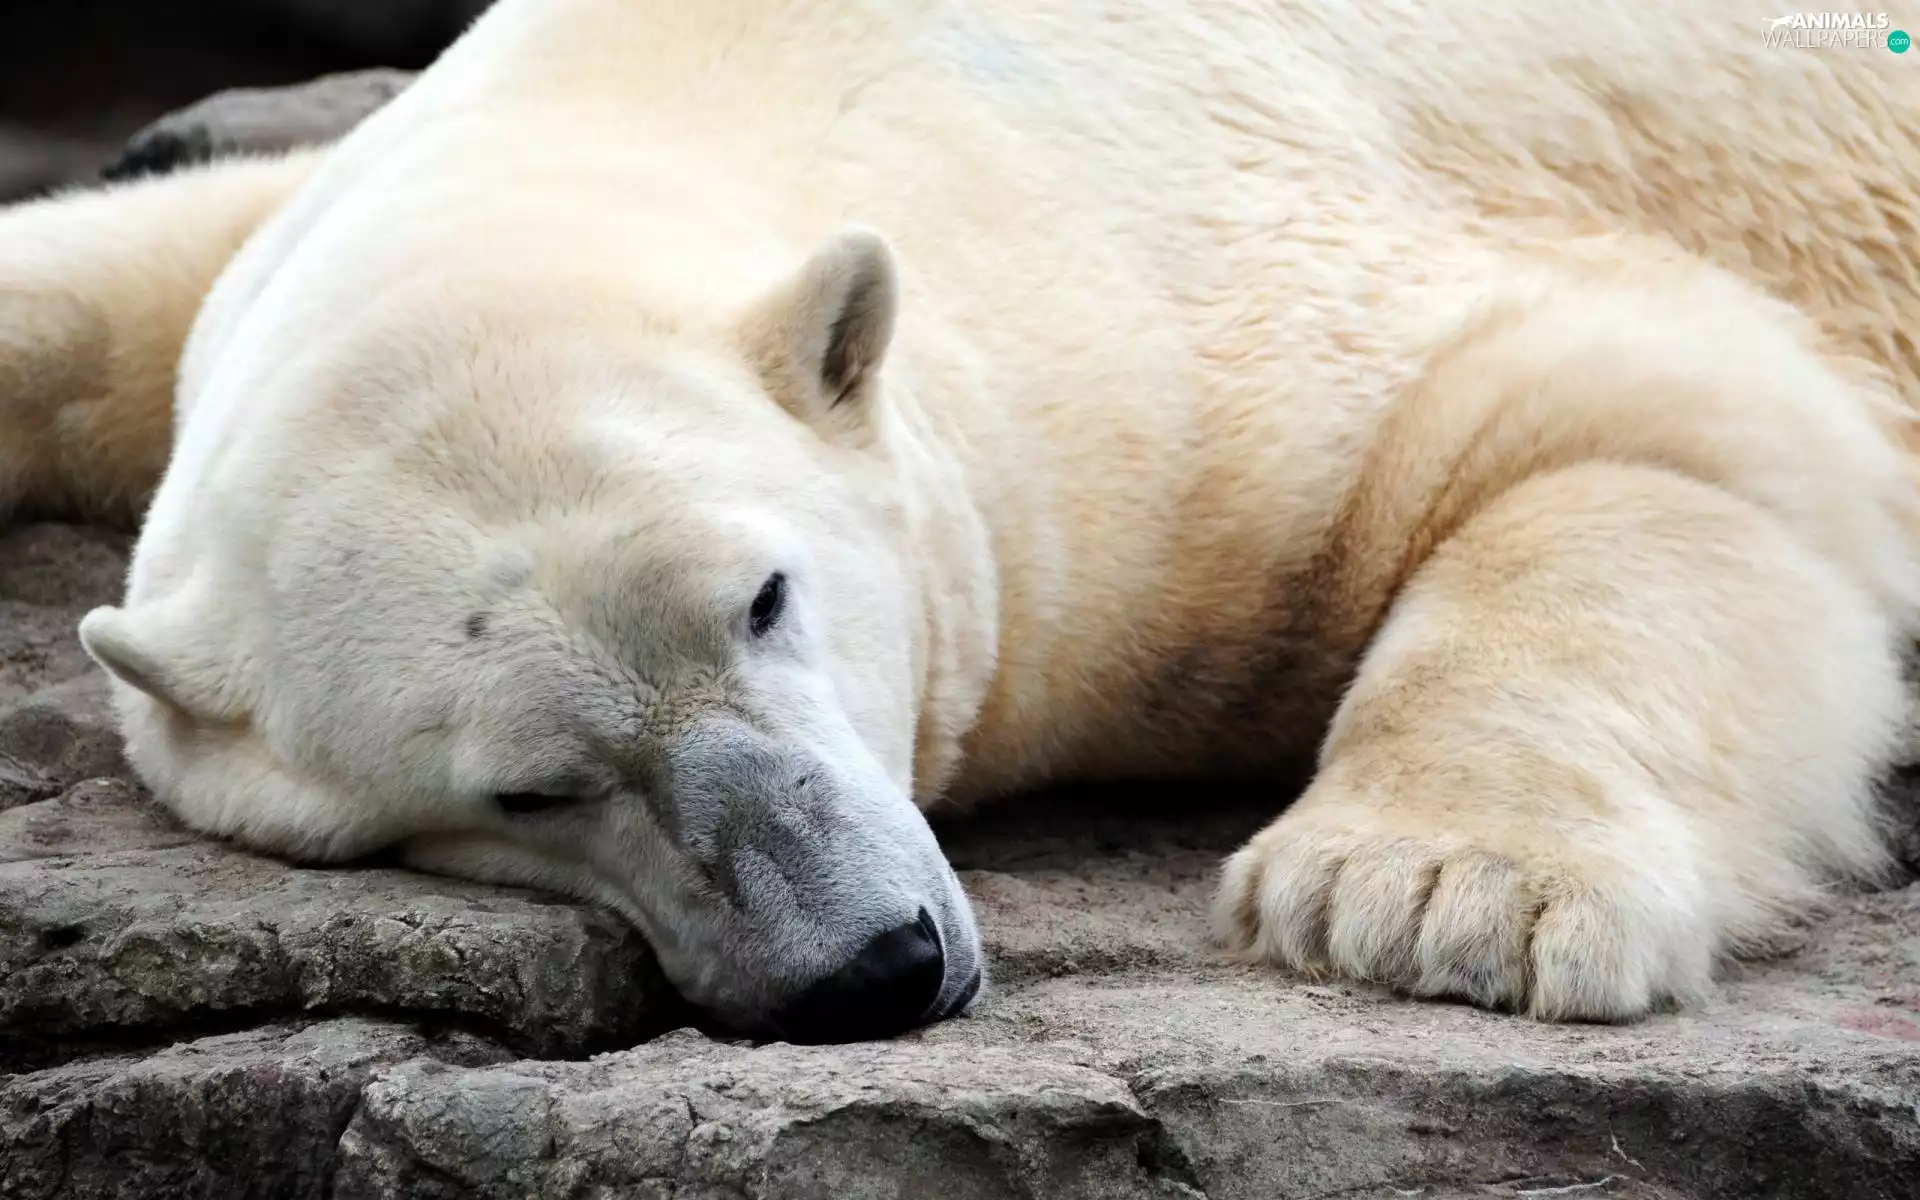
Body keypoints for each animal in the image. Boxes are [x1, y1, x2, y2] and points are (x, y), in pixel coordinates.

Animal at [2, 0, 1918, 1044]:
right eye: (527, 793)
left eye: (767, 599)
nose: (873, 961)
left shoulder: (1178, 358)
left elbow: (1643, 420)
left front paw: (1433, 894)